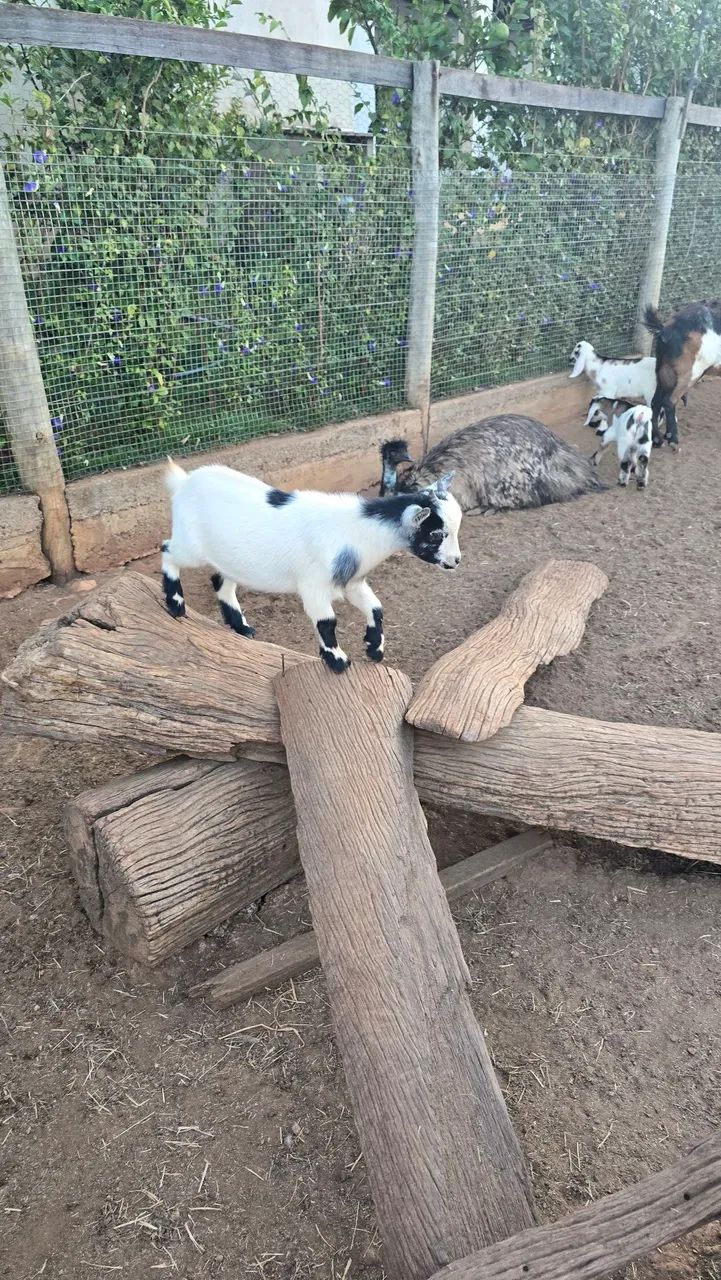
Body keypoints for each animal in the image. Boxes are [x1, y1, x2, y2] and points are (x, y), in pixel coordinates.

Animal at [161, 459, 462, 674]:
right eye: (436, 534)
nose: (456, 560)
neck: (359, 531)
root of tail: (184, 482)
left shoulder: (351, 582)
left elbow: (376, 608)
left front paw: (374, 648)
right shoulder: (314, 585)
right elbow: (327, 622)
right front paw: (338, 661)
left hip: (230, 558)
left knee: (221, 583)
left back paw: (242, 628)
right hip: (191, 545)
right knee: (167, 550)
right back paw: (176, 604)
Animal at [644, 301, 721, 448]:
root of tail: (666, 329)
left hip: (664, 370)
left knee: (656, 402)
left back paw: (658, 438)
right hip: (691, 371)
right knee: (669, 400)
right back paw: (673, 439)